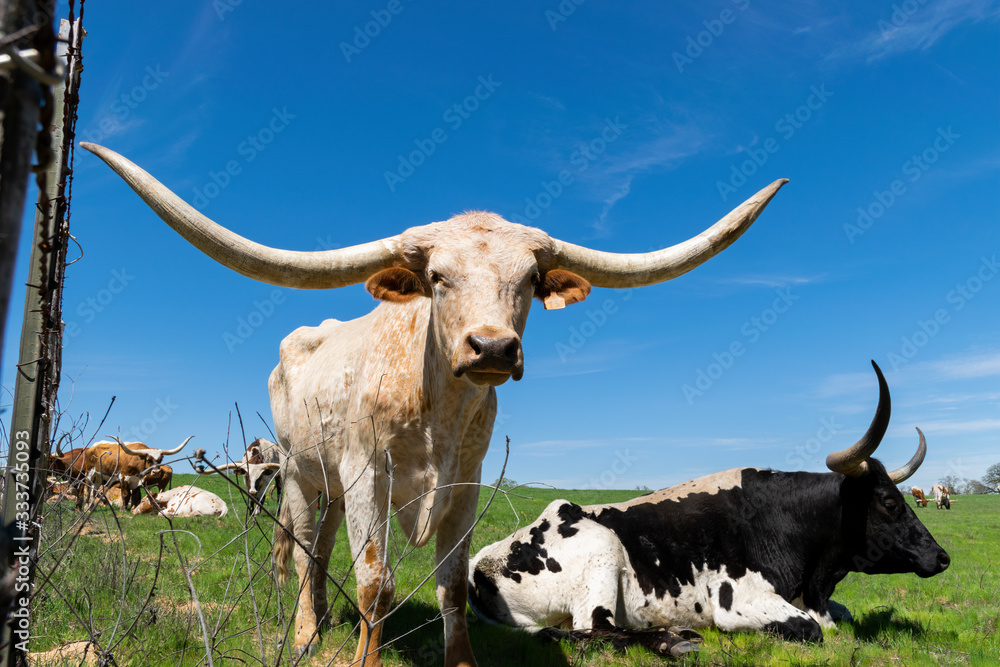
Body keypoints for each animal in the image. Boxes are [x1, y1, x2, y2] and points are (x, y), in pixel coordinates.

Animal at [82, 141, 787, 666]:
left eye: (530, 280)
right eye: (438, 278)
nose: (493, 347)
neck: (436, 411)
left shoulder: (465, 484)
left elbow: (450, 584)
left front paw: (462, 662)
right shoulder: (368, 472)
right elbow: (375, 581)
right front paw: (362, 657)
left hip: (331, 486)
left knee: (323, 551)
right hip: (301, 474)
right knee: (307, 549)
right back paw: (306, 634)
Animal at [469, 363, 950, 649]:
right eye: (889, 502)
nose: (942, 557)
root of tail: (478, 564)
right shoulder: (739, 600)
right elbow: (810, 629)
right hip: (602, 551)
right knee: (597, 631)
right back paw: (674, 638)